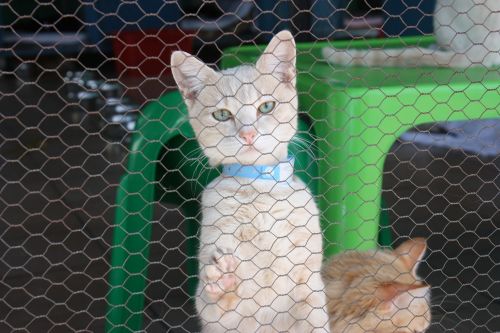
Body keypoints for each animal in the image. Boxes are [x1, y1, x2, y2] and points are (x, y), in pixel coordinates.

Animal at [170, 29, 330, 330]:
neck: (259, 189)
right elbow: (218, 302)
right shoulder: (216, 311)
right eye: (222, 114)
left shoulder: (309, 286)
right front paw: (223, 282)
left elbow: (315, 319)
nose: (248, 134)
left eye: (265, 107)